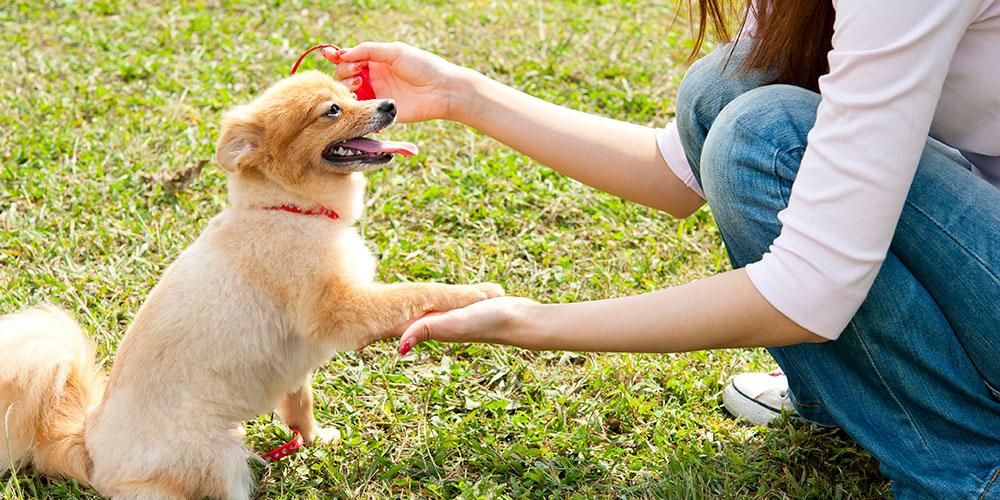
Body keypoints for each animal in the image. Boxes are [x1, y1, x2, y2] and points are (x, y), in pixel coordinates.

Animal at [0, 70, 500, 500]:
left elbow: (300, 405)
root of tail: (88, 446)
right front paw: (475, 292)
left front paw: (316, 439)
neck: (290, 209)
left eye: (352, 92)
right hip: (219, 458)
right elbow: (414, 292)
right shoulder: (340, 311)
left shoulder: (297, 363)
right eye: (332, 110)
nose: (390, 104)